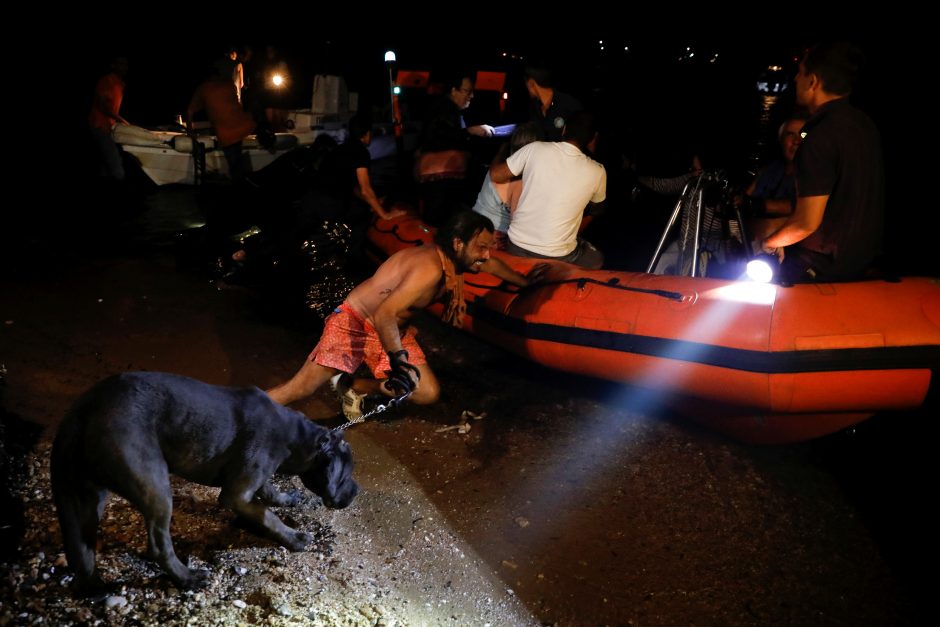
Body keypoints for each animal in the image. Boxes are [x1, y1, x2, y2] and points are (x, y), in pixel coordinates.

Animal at [51, 372, 360, 592]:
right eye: (345, 475)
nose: (357, 491)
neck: (296, 438)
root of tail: (82, 410)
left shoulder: (256, 478)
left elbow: (269, 493)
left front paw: (288, 499)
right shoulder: (236, 494)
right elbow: (268, 515)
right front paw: (293, 537)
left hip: (84, 497)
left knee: (82, 547)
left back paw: (95, 588)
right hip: (155, 487)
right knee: (158, 545)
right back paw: (186, 578)